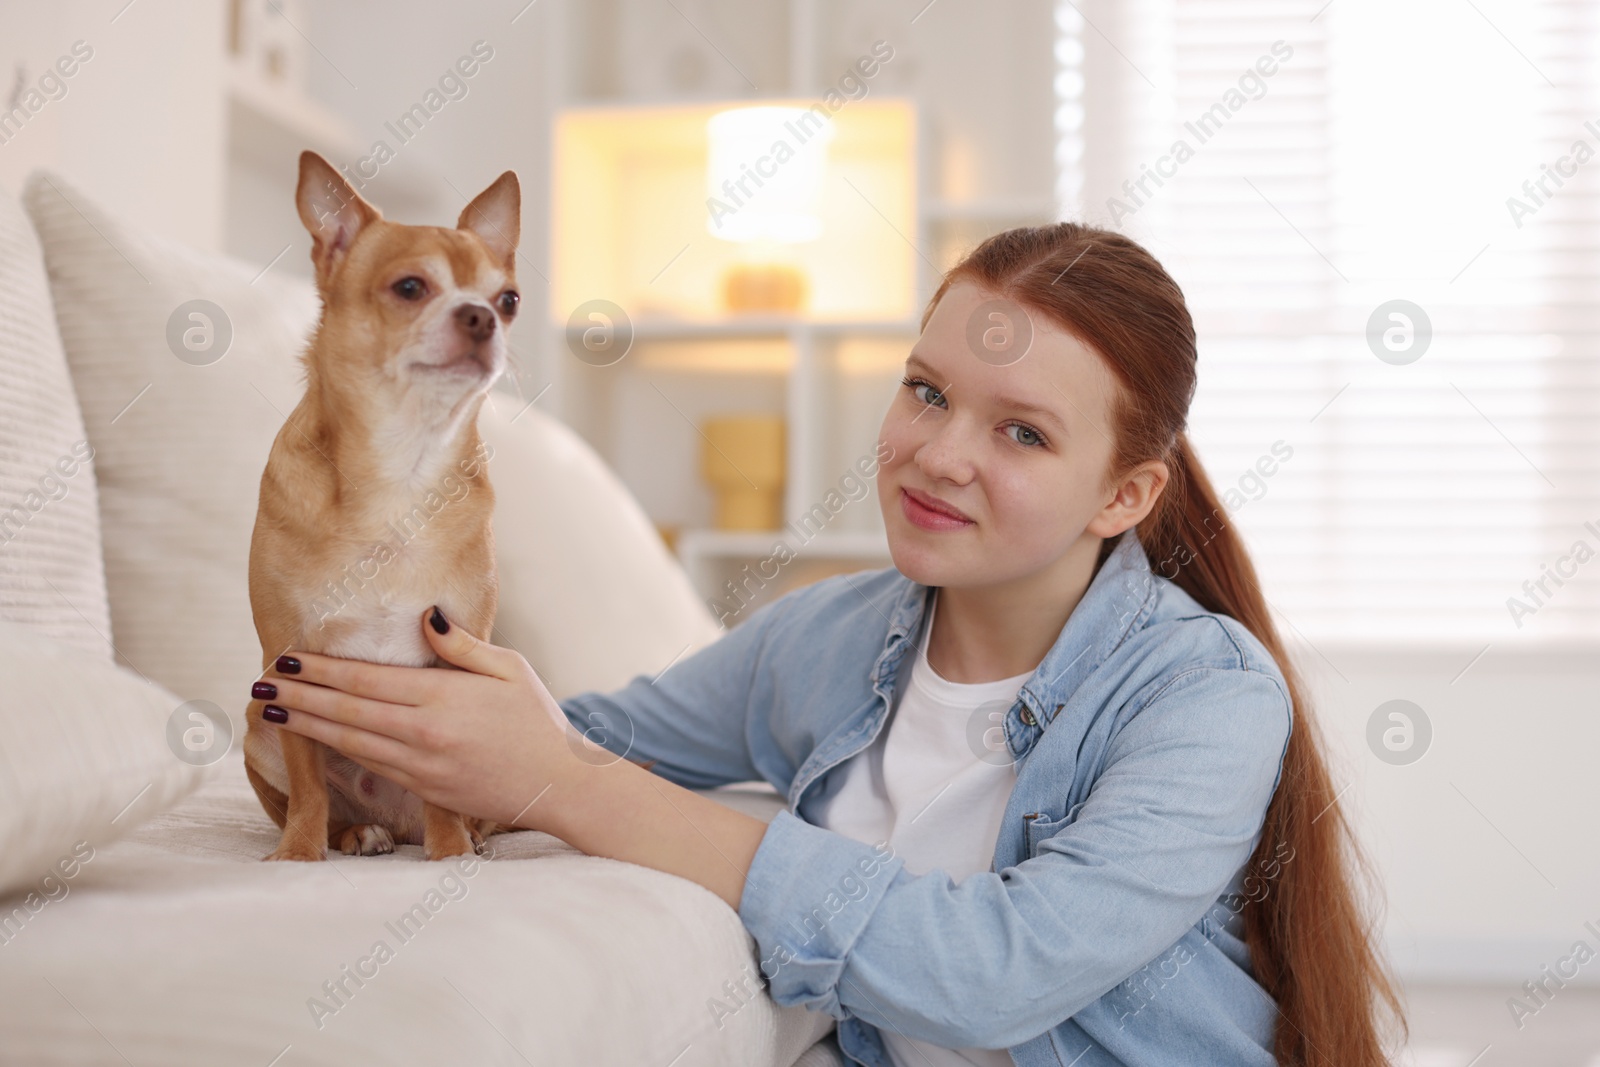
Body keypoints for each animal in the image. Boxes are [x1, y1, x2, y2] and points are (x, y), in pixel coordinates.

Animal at [243, 150, 518, 863]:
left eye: (508, 301)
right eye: (410, 287)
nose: (481, 316)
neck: (402, 466)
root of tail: (396, 819)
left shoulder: (459, 658)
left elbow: (447, 790)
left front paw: (450, 853)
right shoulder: (287, 666)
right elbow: (307, 784)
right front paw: (297, 855)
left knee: (461, 811)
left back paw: (467, 839)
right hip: (256, 723)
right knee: (313, 797)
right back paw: (352, 833)